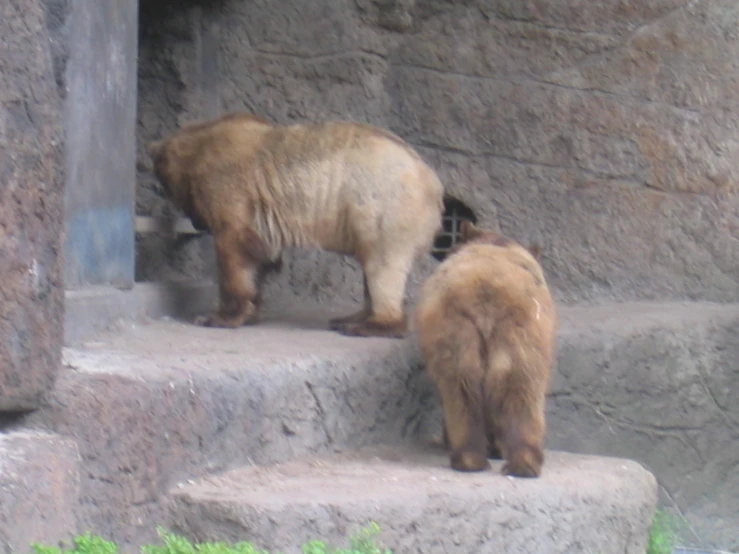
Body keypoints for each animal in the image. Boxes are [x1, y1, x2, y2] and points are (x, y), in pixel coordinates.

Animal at [147, 112, 442, 336]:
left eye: (167, 189)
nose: (197, 224)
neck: (200, 145)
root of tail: (432, 182)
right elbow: (262, 253)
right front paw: (250, 308)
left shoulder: (229, 183)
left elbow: (236, 249)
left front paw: (218, 316)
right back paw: (349, 318)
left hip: (381, 206)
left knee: (383, 266)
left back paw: (367, 325)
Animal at [416, 220, 556, 474]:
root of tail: (487, 292)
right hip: (519, 335)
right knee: (521, 393)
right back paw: (522, 461)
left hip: (459, 332)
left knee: (461, 392)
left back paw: (470, 457)